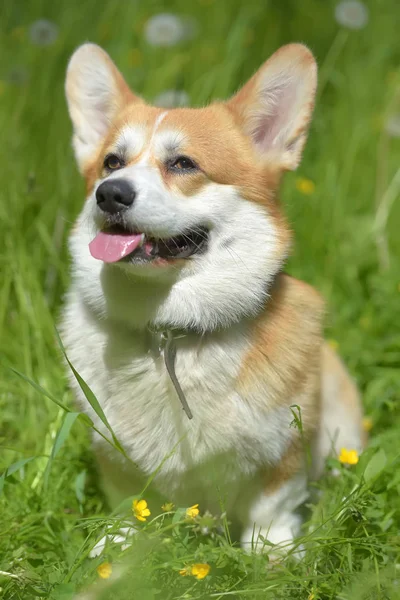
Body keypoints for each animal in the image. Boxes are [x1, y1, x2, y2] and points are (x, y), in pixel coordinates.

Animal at [61, 44, 364, 556]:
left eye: (183, 164)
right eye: (111, 162)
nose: (110, 194)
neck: (171, 332)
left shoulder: (284, 448)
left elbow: (272, 507)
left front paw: (271, 555)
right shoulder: (113, 452)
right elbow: (129, 501)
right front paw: (119, 547)